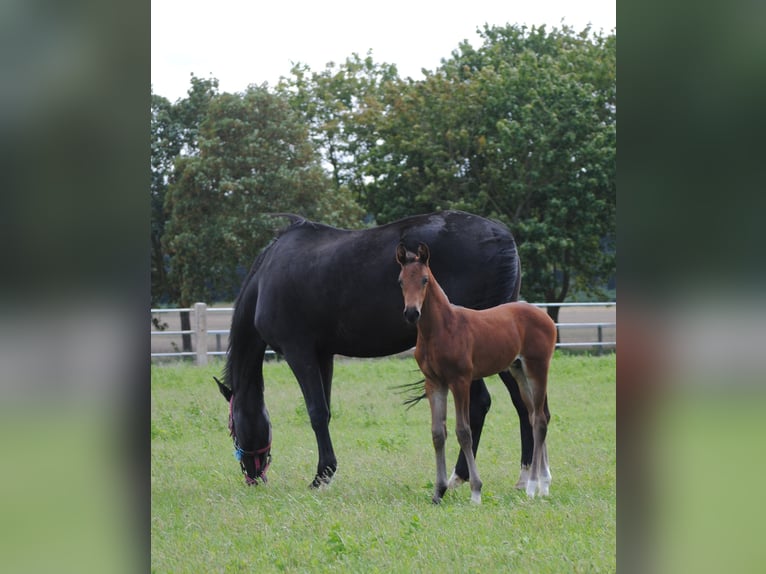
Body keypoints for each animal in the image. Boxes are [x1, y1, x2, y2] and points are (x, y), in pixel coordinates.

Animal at [213, 212, 544, 490]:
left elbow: (316, 411)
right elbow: (326, 409)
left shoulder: (299, 352)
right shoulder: (323, 354)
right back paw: (524, 476)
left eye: (232, 427)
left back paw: (462, 475)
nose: (253, 475)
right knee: (523, 403)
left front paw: (321, 476)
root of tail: (503, 238)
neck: (266, 276)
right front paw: (327, 471)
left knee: (481, 404)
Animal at [396, 243, 560, 504]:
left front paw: (475, 491)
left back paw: (533, 486)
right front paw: (438, 492)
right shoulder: (435, 383)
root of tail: (545, 315)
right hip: (518, 371)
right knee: (536, 414)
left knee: (541, 420)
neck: (441, 328)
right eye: (400, 281)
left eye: (424, 279)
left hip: (537, 368)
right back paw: (543, 484)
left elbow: (464, 432)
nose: (412, 313)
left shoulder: (460, 381)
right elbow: (437, 433)